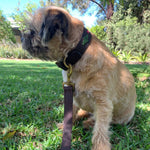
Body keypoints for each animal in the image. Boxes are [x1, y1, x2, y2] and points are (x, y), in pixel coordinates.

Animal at [21, 6, 137, 150]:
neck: (78, 54)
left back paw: (88, 123)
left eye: (32, 32)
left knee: (102, 120)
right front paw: (65, 126)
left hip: (120, 118)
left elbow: (101, 129)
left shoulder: (104, 104)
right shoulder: (72, 95)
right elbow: (70, 113)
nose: (22, 37)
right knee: (83, 111)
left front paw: (100, 146)